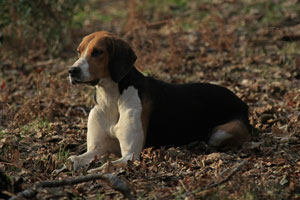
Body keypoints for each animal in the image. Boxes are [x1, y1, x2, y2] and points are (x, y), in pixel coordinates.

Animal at [67, 31, 251, 172]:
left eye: (97, 52)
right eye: (78, 51)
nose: (72, 70)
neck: (111, 97)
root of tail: (242, 102)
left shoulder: (129, 155)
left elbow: (106, 166)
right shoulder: (96, 149)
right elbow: (74, 159)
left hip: (220, 133)